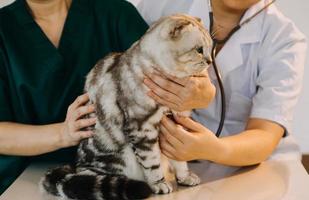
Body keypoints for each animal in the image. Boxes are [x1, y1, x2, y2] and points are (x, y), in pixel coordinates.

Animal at [39, 14, 212, 200]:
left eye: (211, 48)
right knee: (90, 179)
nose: (210, 61)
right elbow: (152, 162)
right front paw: (159, 184)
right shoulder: (143, 128)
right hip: (114, 160)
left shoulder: (174, 123)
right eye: (199, 50)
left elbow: (179, 159)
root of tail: (77, 164)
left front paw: (184, 177)